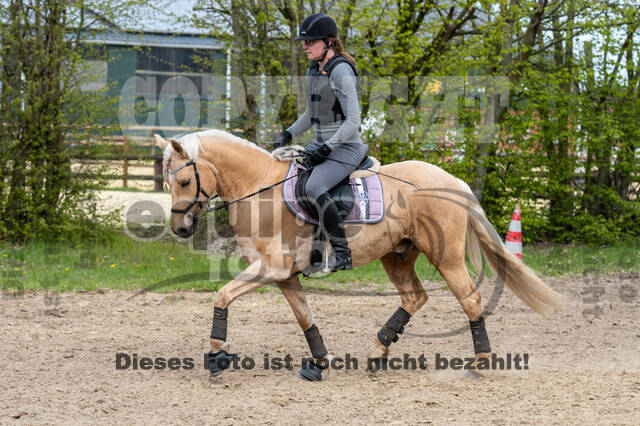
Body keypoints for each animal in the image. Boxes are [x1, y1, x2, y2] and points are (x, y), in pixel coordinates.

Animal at [152, 128, 564, 382]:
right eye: (169, 182)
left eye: (185, 180)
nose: (180, 229)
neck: (260, 190)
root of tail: (453, 181)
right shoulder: (284, 276)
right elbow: (305, 318)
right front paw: (319, 363)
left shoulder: (271, 268)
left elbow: (222, 296)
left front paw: (218, 355)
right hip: (396, 256)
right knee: (414, 297)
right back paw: (378, 352)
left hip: (445, 257)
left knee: (471, 300)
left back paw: (479, 363)